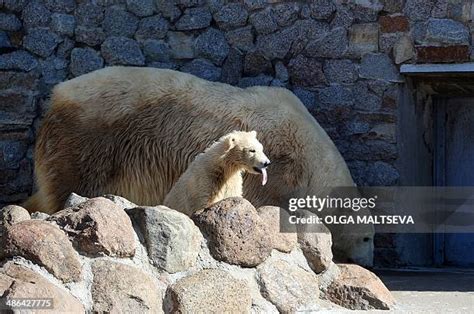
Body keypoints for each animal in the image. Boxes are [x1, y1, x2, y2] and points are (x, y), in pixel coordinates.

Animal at [25, 66, 374, 264]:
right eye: (368, 238)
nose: (369, 262)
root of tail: (56, 96)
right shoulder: (275, 171)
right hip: (90, 140)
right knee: (69, 181)